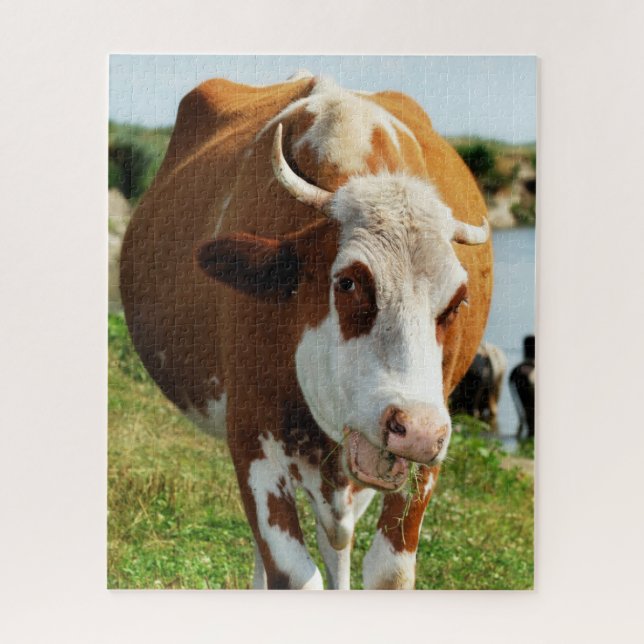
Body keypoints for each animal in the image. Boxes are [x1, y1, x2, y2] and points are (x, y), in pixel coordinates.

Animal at [120, 72, 493, 590]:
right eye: (348, 281)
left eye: (457, 301)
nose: (415, 430)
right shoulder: (250, 435)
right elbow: (291, 571)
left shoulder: (428, 446)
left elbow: (388, 571)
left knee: (336, 541)